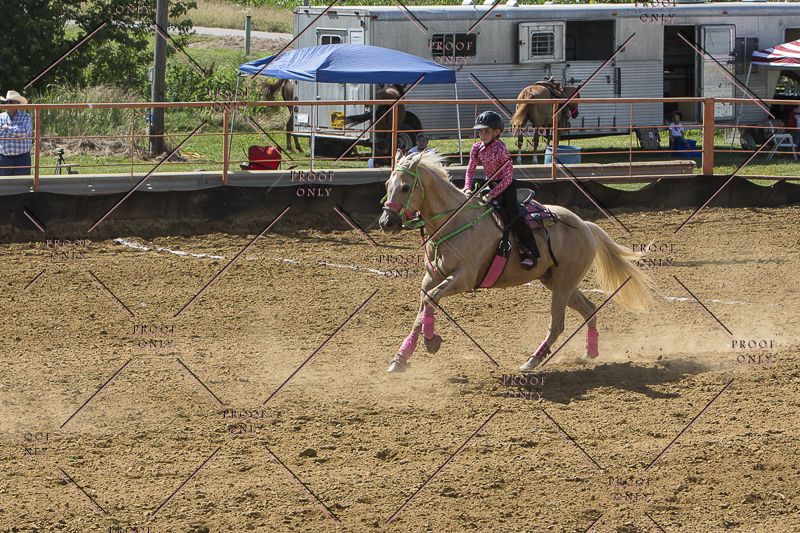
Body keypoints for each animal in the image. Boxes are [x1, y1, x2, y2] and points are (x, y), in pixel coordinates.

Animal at [379, 150, 652, 373]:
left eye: (405, 187)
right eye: (387, 184)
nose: (386, 222)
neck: (454, 223)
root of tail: (585, 225)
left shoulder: (464, 278)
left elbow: (432, 299)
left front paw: (431, 342)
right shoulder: (431, 278)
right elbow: (423, 308)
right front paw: (400, 359)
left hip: (564, 284)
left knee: (557, 324)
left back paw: (532, 361)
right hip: (557, 281)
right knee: (589, 308)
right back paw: (590, 352)